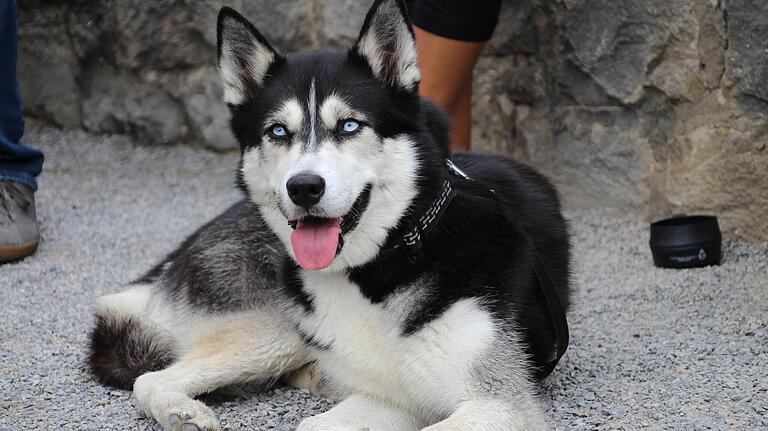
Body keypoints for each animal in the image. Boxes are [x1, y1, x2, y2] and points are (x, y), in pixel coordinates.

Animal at [88, 0, 568, 431]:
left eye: (350, 125)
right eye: (278, 131)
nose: (303, 187)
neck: (377, 268)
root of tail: (170, 261)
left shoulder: (498, 403)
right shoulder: (393, 397)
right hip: (276, 327)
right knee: (151, 378)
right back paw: (183, 412)